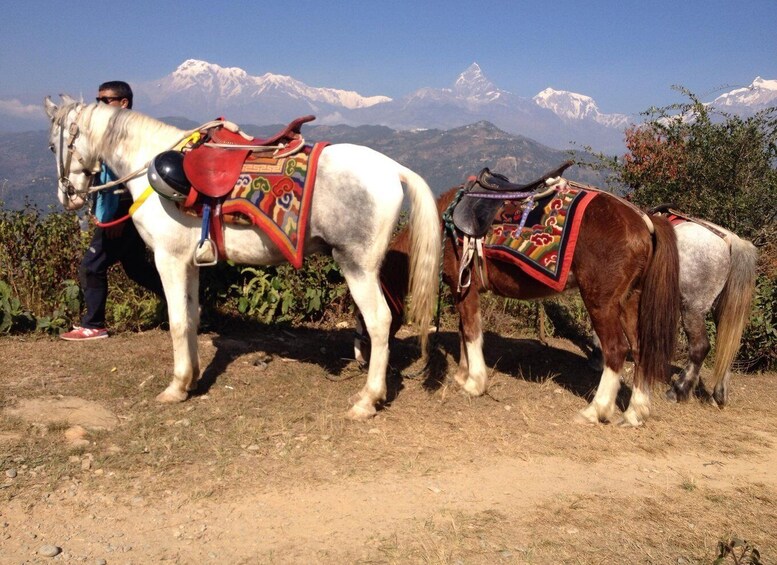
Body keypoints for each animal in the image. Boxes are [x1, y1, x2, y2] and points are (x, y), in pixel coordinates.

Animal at [44, 96, 442, 418]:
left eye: (51, 145)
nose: (67, 197)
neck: (149, 166)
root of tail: (393, 169)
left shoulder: (168, 260)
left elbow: (177, 321)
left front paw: (175, 387)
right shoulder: (189, 263)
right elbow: (192, 316)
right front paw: (191, 378)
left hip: (356, 266)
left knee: (379, 321)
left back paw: (368, 400)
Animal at [364, 183, 680, 426]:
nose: (363, 355)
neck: (444, 226)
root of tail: (643, 221)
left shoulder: (464, 288)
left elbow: (472, 331)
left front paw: (475, 383)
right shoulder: (460, 289)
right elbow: (465, 330)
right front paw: (463, 374)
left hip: (601, 302)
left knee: (616, 350)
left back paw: (596, 410)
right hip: (629, 301)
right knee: (640, 349)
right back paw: (636, 413)